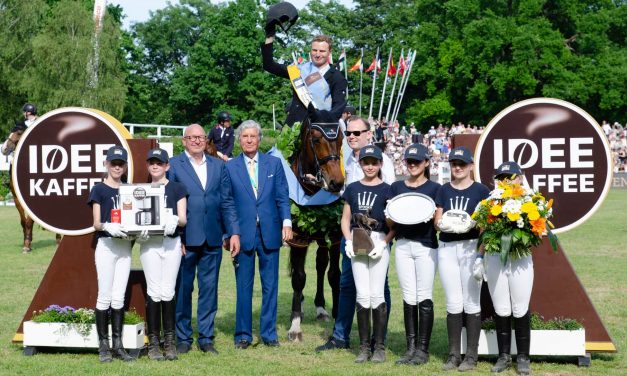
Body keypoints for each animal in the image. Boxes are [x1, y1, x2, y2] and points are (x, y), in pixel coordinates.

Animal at [288, 117, 346, 340]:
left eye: (341, 138)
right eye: (315, 139)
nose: (337, 182)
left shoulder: (335, 238)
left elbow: (334, 275)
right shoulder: (297, 239)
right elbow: (298, 277)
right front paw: (295, 325)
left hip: (322, 239)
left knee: (321, 265)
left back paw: (320, 308)